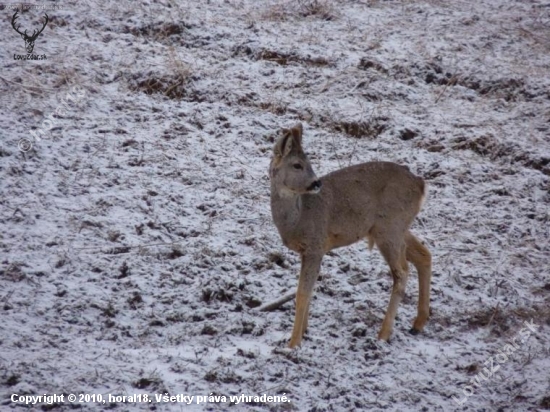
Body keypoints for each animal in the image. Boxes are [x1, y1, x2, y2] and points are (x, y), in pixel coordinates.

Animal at [270, 123, 434, 348]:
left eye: (308, 162)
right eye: (297, 165)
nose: (316, 183)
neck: (298, 219)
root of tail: (421, 184)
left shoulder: (316, 245)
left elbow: (302, 292)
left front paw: (293, 343)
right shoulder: (310, 251)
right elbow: (308, 289)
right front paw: (304, 332)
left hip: (389, 228)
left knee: (401, 272)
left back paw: (383, 334)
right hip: (394, 227)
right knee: (424, 254)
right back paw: (417, 324)